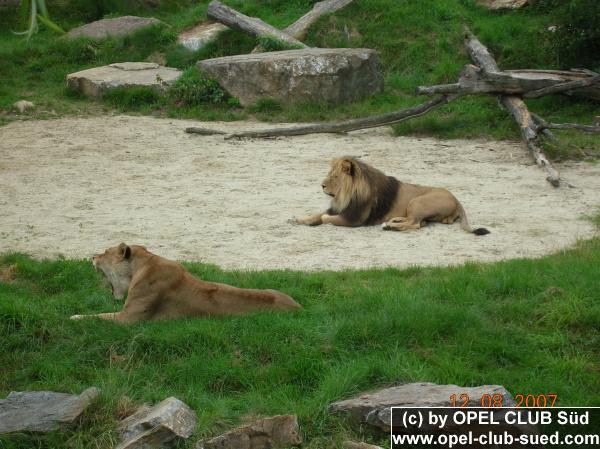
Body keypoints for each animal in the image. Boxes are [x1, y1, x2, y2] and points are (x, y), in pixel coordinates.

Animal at [72, 242, 302, 322]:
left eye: (105, 252)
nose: (92, 257)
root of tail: (299, 308)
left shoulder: (129, 319)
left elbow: (97, 317)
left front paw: (73, 316)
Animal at [298, 157, 490, 234]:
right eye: (329, 174)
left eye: (335, 177)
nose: (322, 185)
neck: (346, 196)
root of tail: (457, 200)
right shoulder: (339, 208)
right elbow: (318, 214)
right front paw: (301, 219)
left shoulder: (353, 219)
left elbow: (326, 218)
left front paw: (316, 221)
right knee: (418, 222)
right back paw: (393, 222)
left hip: (416, 201)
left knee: (416, 224)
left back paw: (390, 227)